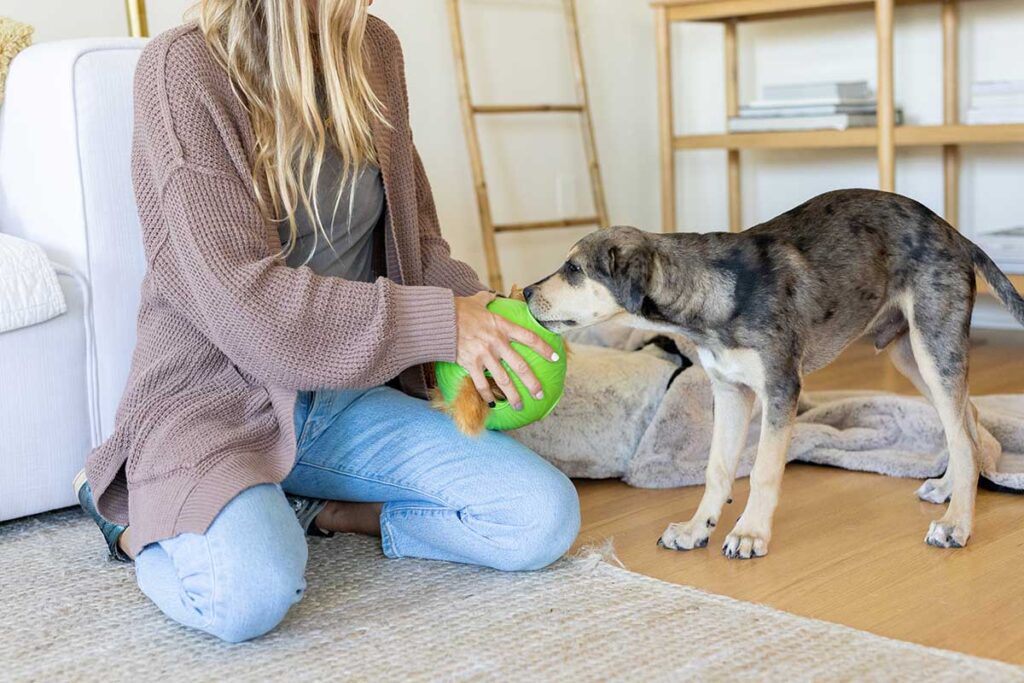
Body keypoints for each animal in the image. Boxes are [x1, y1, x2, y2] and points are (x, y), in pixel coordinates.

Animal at [524, 188, 1019, 561]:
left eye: (574, 269)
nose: (526, 291)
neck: (712, 295)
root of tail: (956, 234)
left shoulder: (782, 388)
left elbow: (763, 469)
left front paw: (750, 534)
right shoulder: (729, 390)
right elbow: (718, 467)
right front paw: (695, 528)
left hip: (934, 344)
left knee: (962, 433)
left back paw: (956, 525)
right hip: (909, 352)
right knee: (968, 422)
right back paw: (949, 491)